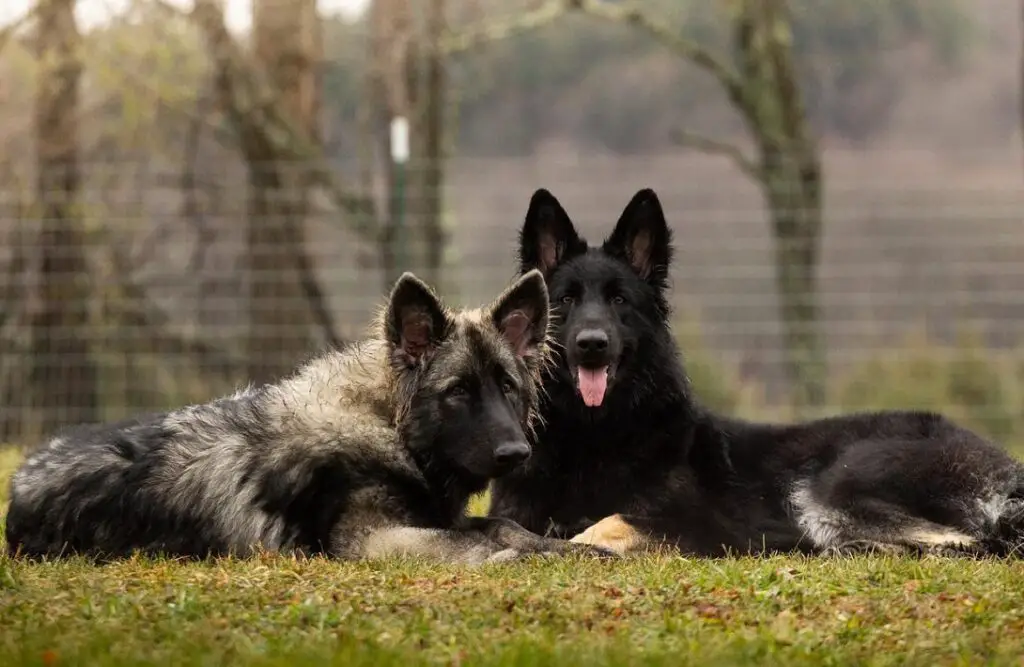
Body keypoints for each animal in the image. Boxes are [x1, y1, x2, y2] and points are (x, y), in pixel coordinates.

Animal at [8, 268, 610, 565]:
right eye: (457, 392)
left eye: (507, 387)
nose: (516, 453)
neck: (390, 427)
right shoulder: (373, 540)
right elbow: (477, 543)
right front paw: (526, 560)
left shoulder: (436, 515)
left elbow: (506, 525)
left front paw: (575, 548)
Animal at [485, 187, 1024, 557]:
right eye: (566, 301)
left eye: (619, 301)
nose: (592, 345)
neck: (594, 434)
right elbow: (514, 527)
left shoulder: (697, 522)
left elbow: (600, 527)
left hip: (836, 482)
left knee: (968, 543)